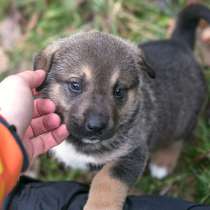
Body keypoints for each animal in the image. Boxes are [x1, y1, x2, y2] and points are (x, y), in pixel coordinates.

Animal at [33, 4, 209, 210]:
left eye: (119, 91)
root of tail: (179, 42)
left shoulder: (132, 153)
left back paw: (163, 163)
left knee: (177, 139)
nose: (96, 126)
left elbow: (106, 181)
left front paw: (98, 206)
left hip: (185, 117)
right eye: (75, 85)